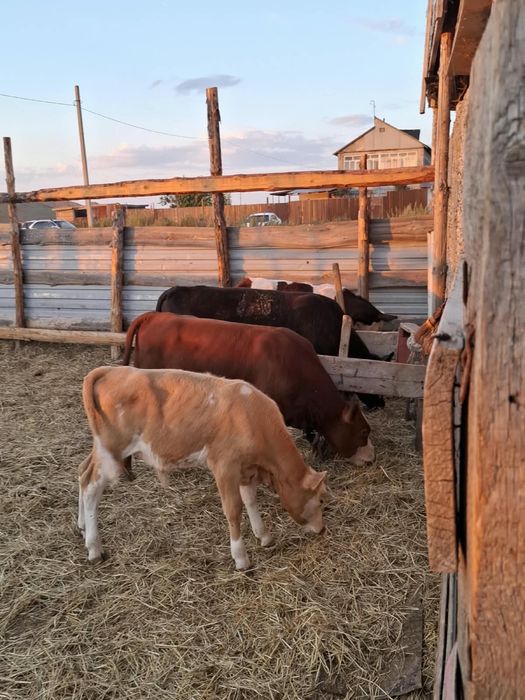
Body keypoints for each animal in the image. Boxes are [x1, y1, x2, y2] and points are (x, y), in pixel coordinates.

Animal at [79, 366, 327, 570]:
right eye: (321, 499)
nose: (322, 529)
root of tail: (111, 370)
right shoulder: (225, 466)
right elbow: (233, 509)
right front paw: (241, 558)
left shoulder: (246, 468)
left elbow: (250, 499)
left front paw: (263, 535)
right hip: (112, 450)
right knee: (91, 487)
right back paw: (94, 548)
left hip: (101, 449)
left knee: (82, 473)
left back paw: (81, 526)